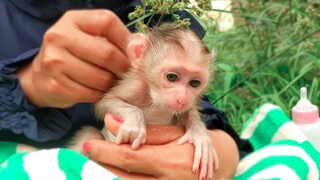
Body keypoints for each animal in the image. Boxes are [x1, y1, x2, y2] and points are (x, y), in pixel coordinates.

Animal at [73, 24, 218, 180]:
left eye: (195, 83)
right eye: (172, 77)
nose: (182, 99)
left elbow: (187, 111)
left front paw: (199, 135)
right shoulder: (134, 85)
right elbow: (104, 104)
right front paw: (135, 124)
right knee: (89, 134)